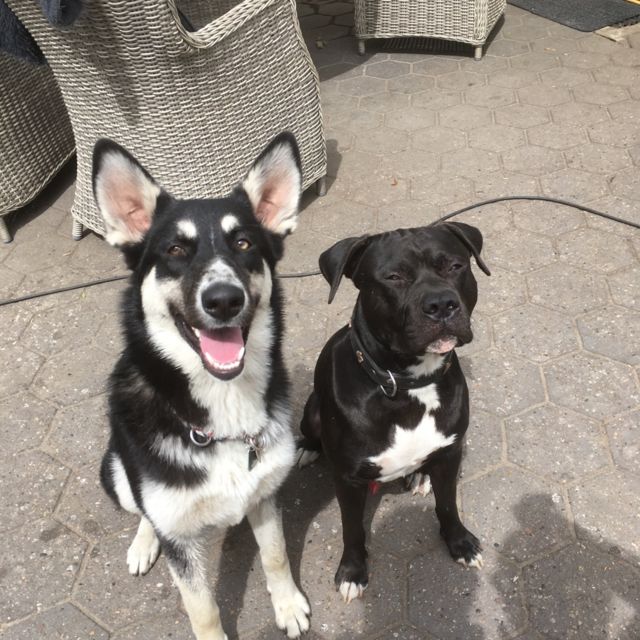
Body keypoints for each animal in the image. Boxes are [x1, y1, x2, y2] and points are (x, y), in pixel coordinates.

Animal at [94, 133, 310, 640]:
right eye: (175, 250)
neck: (220, 410)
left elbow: (276, 557)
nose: (224, 300)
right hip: (115, 471)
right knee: (143, 510)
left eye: (244, 242)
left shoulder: (264, 495)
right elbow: (202, 607)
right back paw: (142, 543)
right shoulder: (178, 538)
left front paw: (287, 605)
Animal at [297, 222, 490, 602]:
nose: (441, 304)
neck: (408, 385)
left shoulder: (451, 454)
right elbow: (352, 528)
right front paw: (352, 571)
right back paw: (307, 449)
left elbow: (449, 504)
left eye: (455, 266)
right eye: (394, 277)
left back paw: (419, 475)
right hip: (312, 410)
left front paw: (460, 542)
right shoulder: (348, 480)